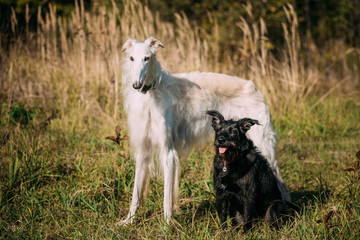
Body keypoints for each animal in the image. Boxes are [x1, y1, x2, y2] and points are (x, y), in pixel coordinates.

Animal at [119, 36, 292, 225]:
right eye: (131, 58)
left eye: (147, 58)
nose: (136, 85)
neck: (151, 93)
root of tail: (253, 87)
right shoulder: (143, 149)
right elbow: (136, 194)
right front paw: (128, 221)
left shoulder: (168, 152)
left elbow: (167, 198)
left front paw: (166, 225)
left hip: (265, 148)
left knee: (283, 186)